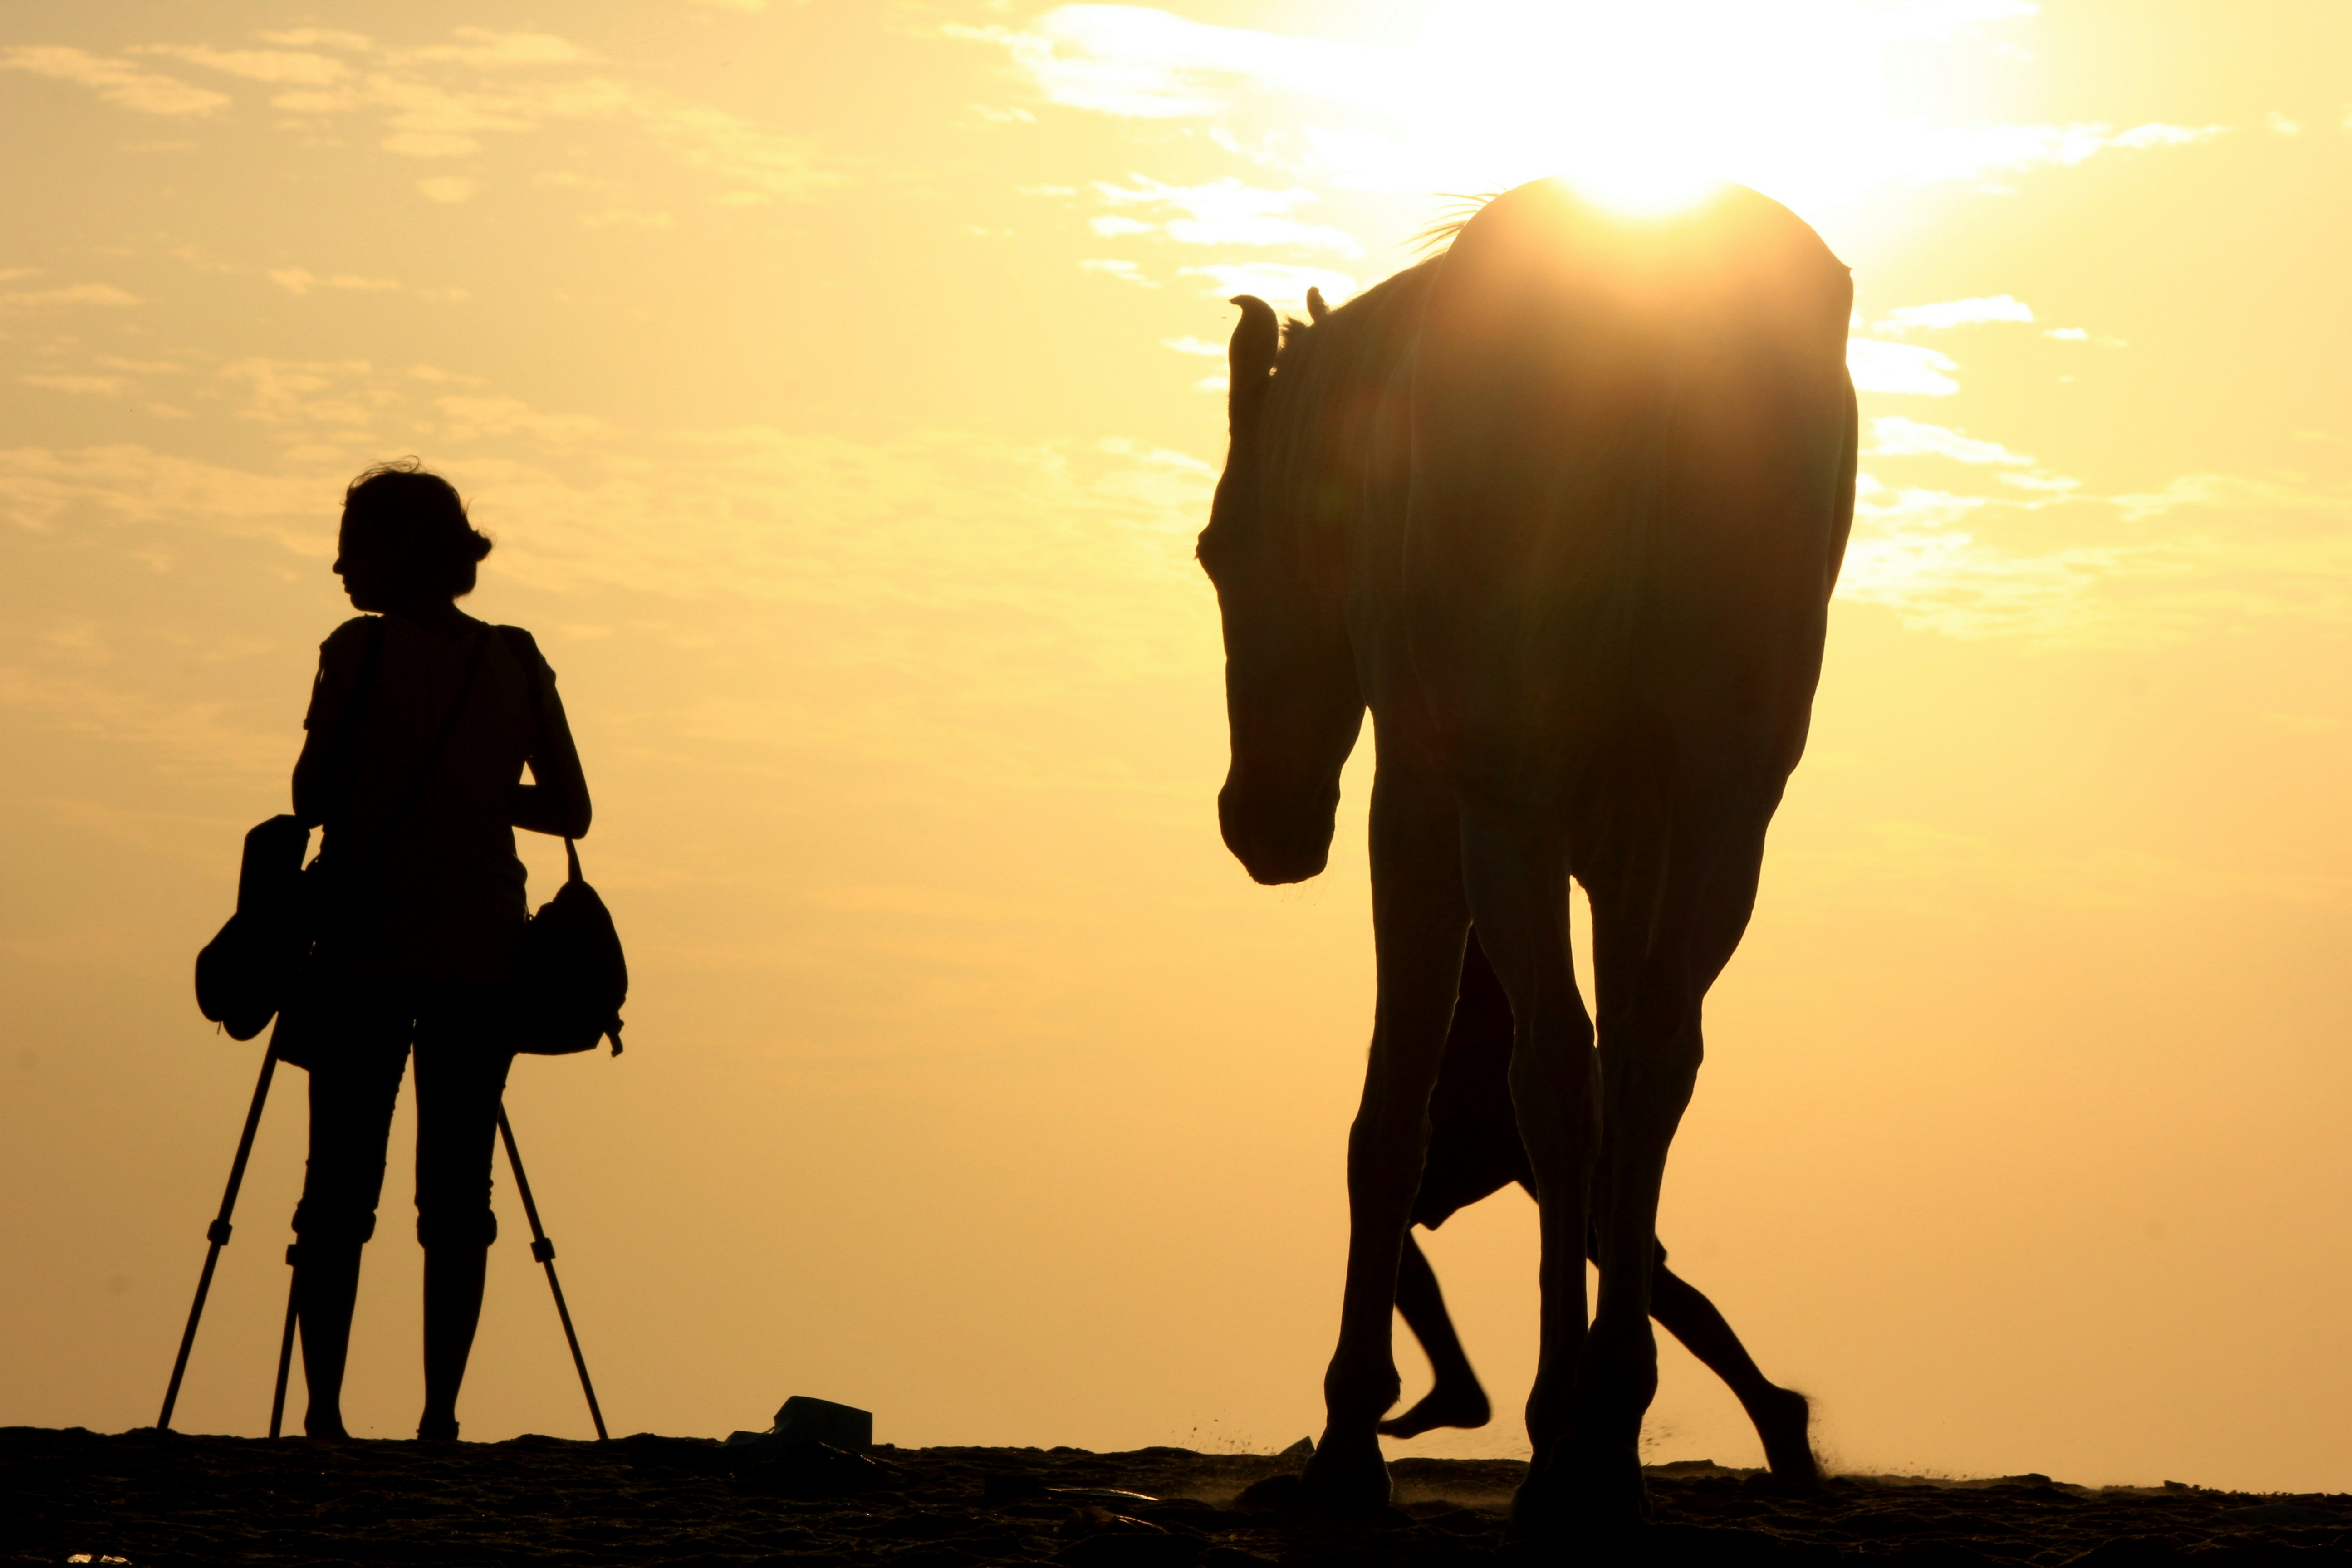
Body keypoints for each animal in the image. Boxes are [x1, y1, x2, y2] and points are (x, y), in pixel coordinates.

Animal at [1196, 178, 1856, 1535]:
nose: (1259, 823)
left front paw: (1347, 1438)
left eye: (1219, 554)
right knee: (1648, 1065)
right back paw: (1605, 1423)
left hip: (1510, 812)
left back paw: (1563, 1438)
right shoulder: (1633, 847)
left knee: (1555, 1067)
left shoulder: (1422, 801)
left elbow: (1390, 1107)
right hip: (1726, 815)